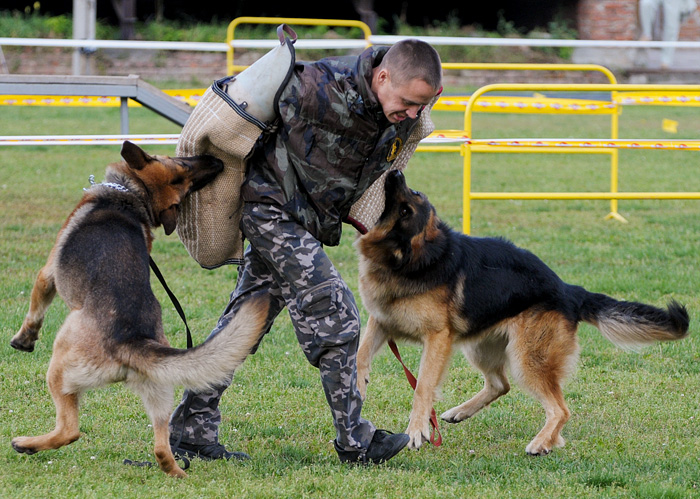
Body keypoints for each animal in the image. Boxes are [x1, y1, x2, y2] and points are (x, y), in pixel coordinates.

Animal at [9, 143, 270, 478]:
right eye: (183, 168)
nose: (216, 161)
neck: (132, 198)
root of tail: (131, 341)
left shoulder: (47, 274)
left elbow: (35, 310)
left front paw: (23, 339)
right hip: (161, 395)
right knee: (162, 448)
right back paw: (177, 473)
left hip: (60, 360)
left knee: (70, 430)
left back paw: (26, 444)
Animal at [356, 171, 688, 458]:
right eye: (410, 198)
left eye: (406, 208)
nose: (395, 172)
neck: (409, 261)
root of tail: (568, 290)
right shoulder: (381, 321)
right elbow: (360, 353)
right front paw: (357, 387)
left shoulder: (437, 339)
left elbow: (423, 386)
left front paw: (416, 431)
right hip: (481, 346)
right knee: (500, 385)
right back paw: (462, 413)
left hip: (527, 358)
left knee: (559, 408)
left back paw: (542, 442)